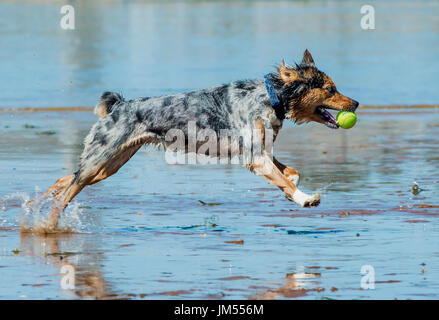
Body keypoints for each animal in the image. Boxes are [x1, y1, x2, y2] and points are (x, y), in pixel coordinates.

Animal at [37, 50, 360, 230]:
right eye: (330, 89)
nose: (356, 103)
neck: (271, 97)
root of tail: (120, 105)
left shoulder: (262, 153)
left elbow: (290, 173)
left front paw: (292, 188)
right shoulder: (256, 158)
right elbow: (286, 181)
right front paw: (304, 198)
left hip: (109, 165)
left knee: (65, 180)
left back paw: (34, 207)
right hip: (101, 159)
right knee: (67, 191)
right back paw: (47, 224)